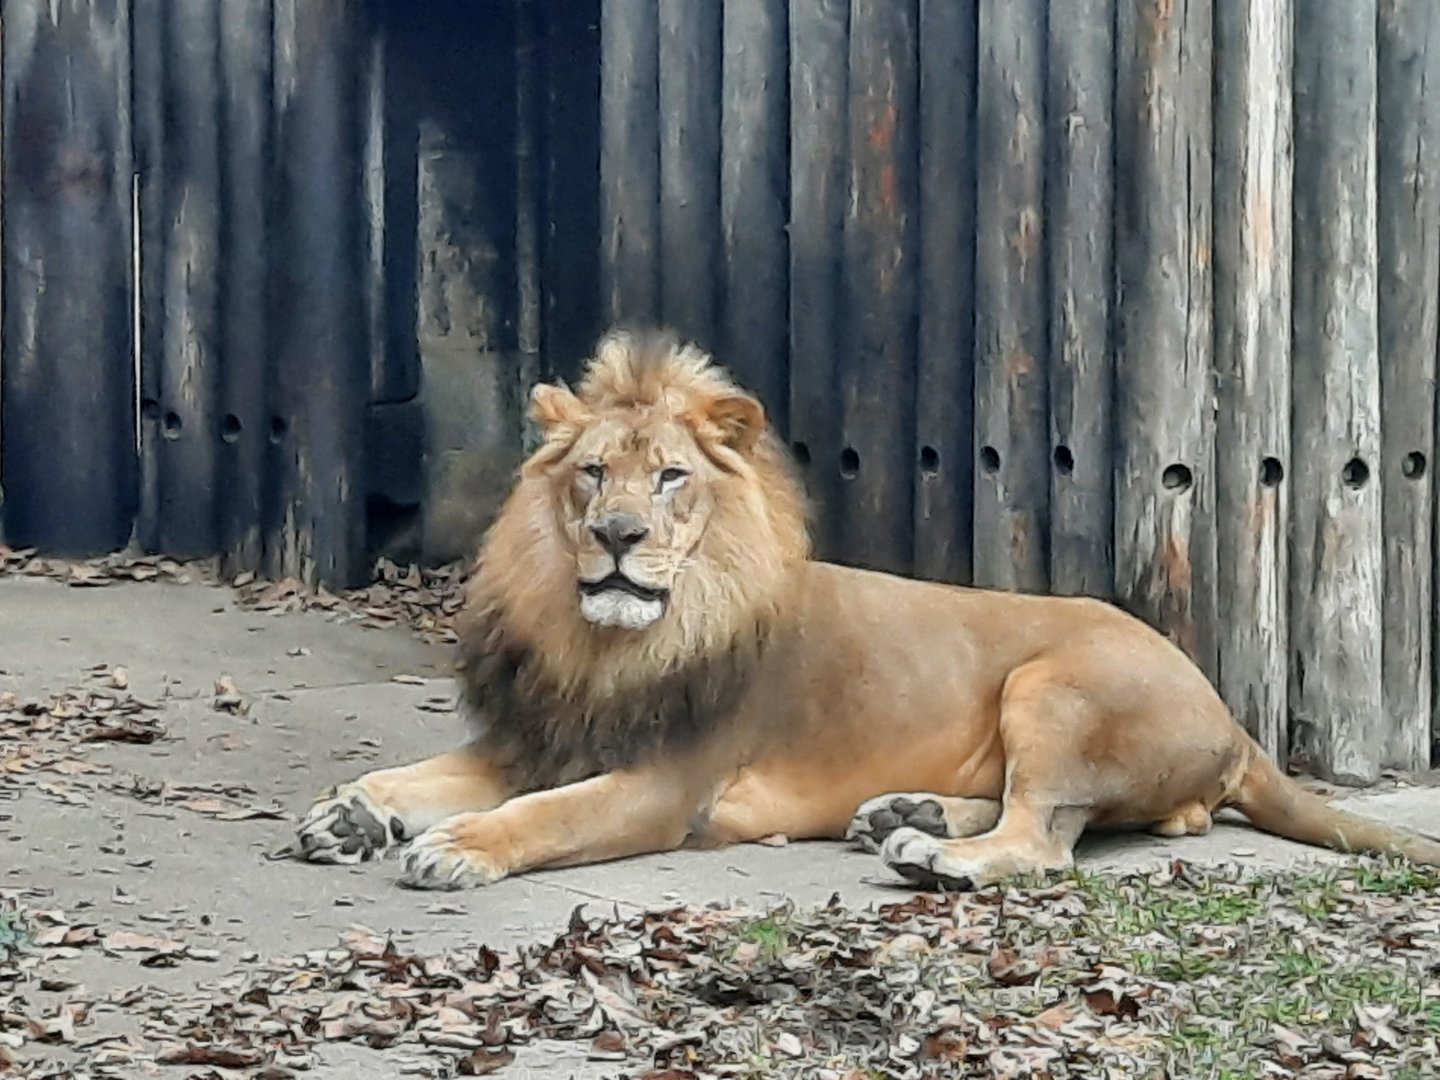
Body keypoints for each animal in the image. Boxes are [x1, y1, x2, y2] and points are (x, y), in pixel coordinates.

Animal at [293, 328, 1440, 891]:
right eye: (590, 475)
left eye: (669, 478)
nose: (616, 535)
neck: (603, 643)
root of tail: (1233, 719)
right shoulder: (536, 739)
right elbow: (410, 775)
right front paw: (350, 812)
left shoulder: (665, 785)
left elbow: (543, 816)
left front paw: (455, 847)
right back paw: (908, 815)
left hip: (1054, 682)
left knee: (1045, 837)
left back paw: (936, 854)